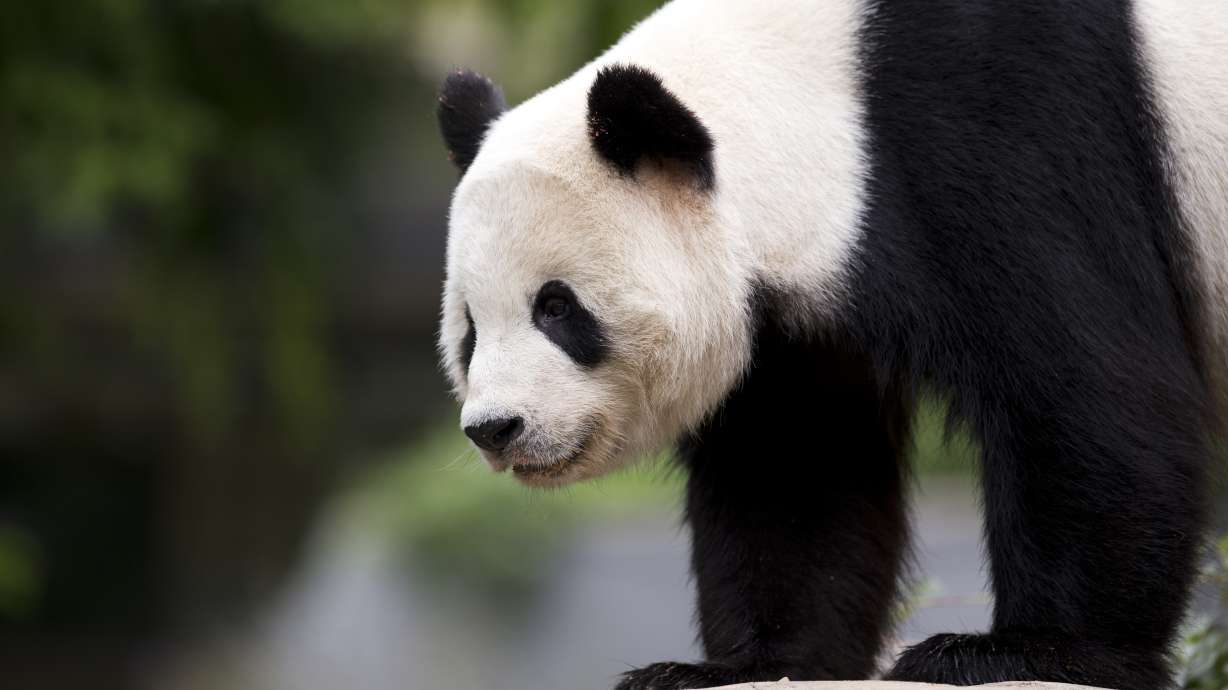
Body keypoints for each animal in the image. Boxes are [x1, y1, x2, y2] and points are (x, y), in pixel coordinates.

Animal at [435, 0, 1228, 688]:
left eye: (557, 308)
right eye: (471, 329)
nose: (496, 428)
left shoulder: (1016, 126)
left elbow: (1090, 392)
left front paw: (1020, 651)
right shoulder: (800, 317)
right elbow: (798, 468)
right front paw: (746, 663)